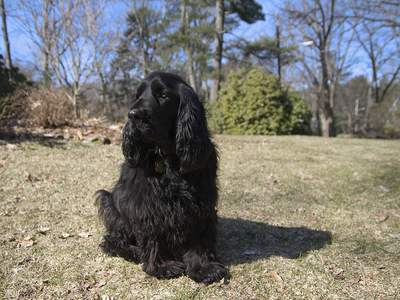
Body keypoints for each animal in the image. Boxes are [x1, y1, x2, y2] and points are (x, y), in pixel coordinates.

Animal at [96, 71, 227, 284]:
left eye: (163, 95)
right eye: (138, 95)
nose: (133, 115)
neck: (168, 157)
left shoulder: (201, 201)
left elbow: (199, 235)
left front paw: (203, 267)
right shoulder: (147, 203)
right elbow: (153, 232)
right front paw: (160, 266)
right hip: (110, 203)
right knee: (111, 240)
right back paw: (133, 251)